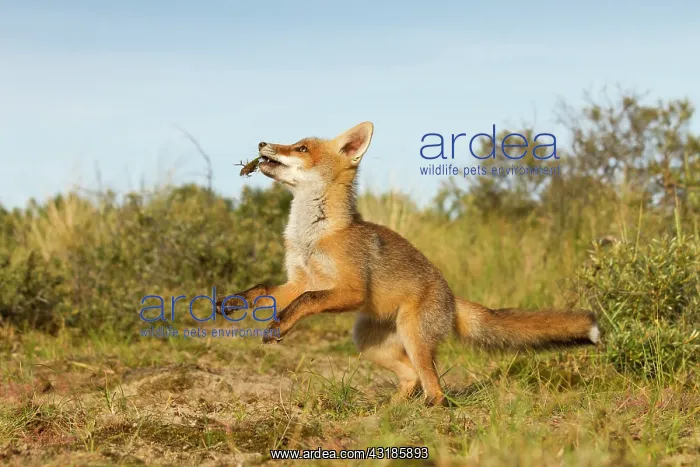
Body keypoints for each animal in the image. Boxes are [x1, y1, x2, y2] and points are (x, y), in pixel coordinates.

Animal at [217, 121, 600, 406]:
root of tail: (450, 297)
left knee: (435, 389)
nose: (262, 142)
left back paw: (428, 412)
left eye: (301, 148)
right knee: (412, 378)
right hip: (367, 340)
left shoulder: (350, 289)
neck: (314, 234)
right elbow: (266, 290)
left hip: (413, 337)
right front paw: (233, 302)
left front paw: (279, 326)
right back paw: (386, 413)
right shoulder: (299, 279)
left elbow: (306, 301)